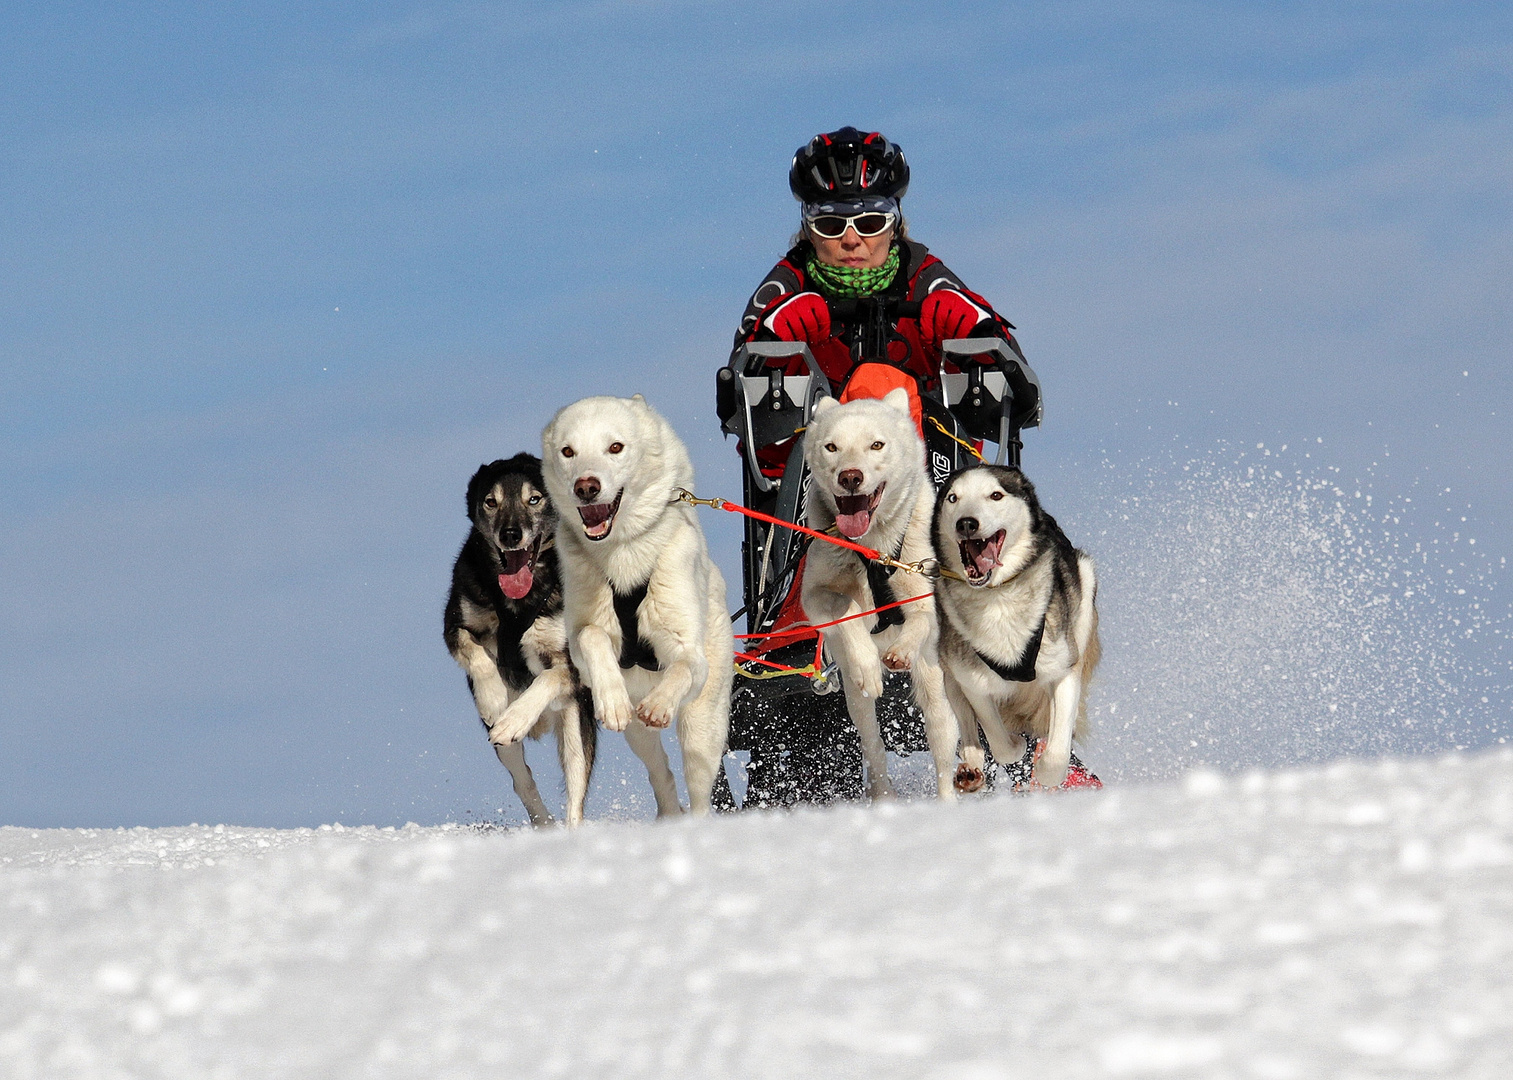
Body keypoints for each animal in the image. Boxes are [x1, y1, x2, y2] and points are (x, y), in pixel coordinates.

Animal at [441, 450, 596, 822]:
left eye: (534, 499)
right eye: (490, 502)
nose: (511, 534)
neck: (519, 604)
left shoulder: (568, 664)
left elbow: (548, 679)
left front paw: (515, 718)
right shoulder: (455, 626)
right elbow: (476, 655)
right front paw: (493, 698)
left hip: (575, 726)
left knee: (575, 792)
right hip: (506, 751)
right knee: (523, 782)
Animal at [544, 390, 732, 810]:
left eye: (615, 447)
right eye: (568, 451)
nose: (586, 486)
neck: (625, 551)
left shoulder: (687, 649)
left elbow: (683, 666)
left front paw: (660, 704)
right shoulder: (582, 636)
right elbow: (592, 636)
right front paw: (611, 700)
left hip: (701, 733)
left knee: (700, 793)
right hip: (637, 735)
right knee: (661, 773)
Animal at [804, 390, 956, 798]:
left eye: (877, 444)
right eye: (831, 447)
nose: (850, 477)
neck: (873, 550)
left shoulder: (923, 595)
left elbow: (919, 620)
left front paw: (899, 650)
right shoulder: (815, 596)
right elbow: (845, 610)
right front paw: (868, 662)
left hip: (935, 691)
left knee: (944, 746)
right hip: (858, 706)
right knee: (873, 749)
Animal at [932, 465, 1101, 792]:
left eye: (995, 495)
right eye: (953, 498)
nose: (966, 523)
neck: (998, 596)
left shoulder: (1064, 669)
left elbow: (1057, 751)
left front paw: (1046, 771)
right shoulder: (973, 683)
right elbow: (1000, 743)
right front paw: (1016, 747)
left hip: (1085, 589)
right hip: (949, 677)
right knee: (969, 729)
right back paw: (971, 767)